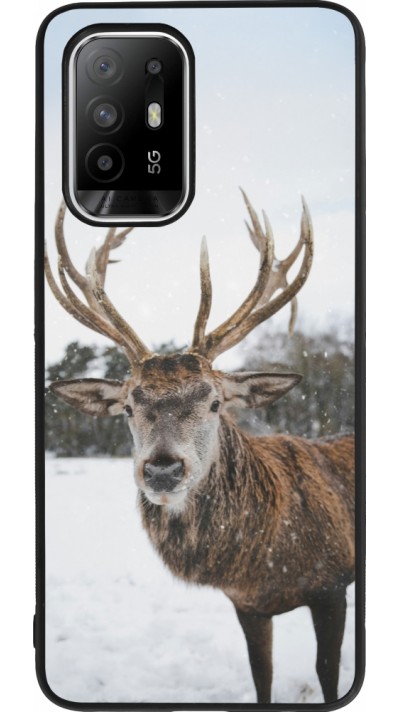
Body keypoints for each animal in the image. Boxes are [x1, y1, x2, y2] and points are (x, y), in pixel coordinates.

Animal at [45, 191, 355, 704]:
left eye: (213, 402)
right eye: (128, 406)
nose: (162, 470)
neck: (264, 561)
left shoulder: (332, 584)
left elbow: (327, 673)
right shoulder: (247, 605)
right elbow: (261, 675)